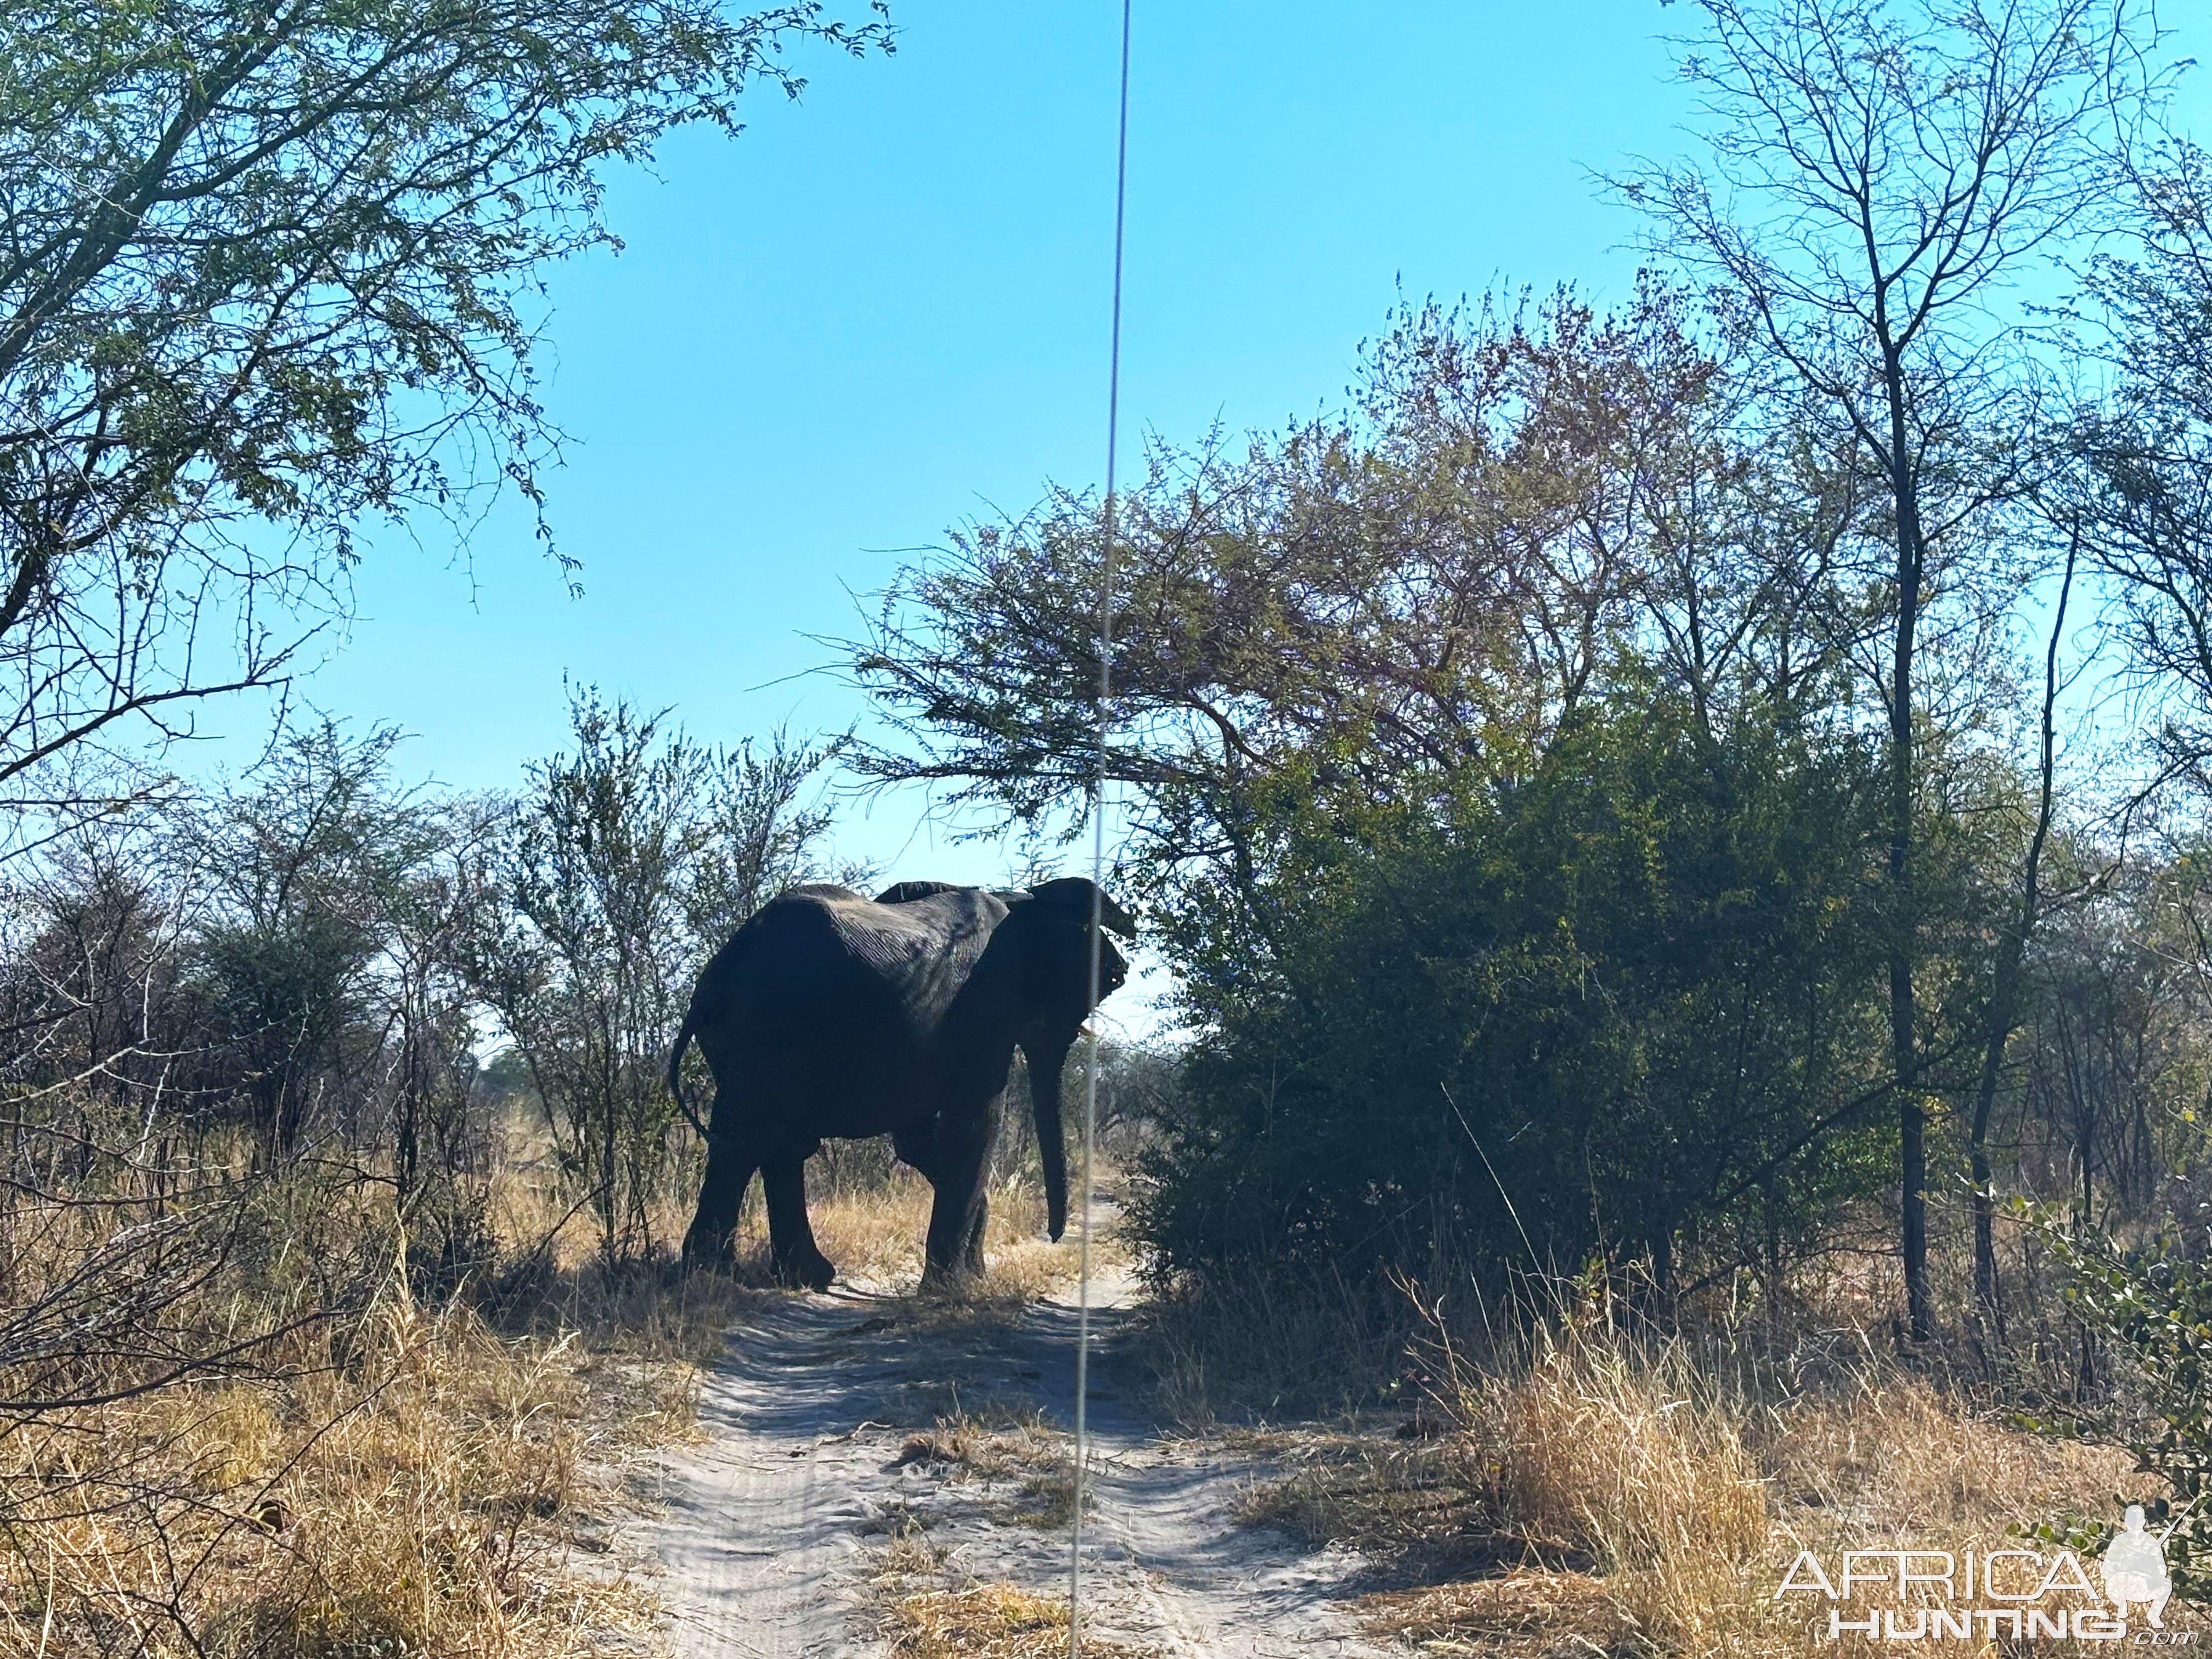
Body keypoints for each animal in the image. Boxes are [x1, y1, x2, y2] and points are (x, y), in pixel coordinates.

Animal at [663, 876, 1132, 1291]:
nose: (1054, 1237)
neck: (1022, 901)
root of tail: (721, 971)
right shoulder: (988, 1008)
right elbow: (974, 1127)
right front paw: (953, 1290)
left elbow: (917, 1141)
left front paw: (973, 1273)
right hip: (772, 1028)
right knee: (750, 1140)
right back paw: (718, 1276)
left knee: (766, 1142)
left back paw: (791, 1277)